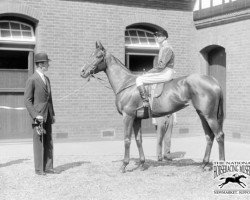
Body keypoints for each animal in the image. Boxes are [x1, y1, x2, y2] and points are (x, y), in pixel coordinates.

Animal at [81, 41, 226, 173]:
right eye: (91, 55)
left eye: (98, 56)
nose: (83, 71)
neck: (126, 84)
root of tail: (213, 81)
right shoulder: (136, 119)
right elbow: (138, 140)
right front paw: (142, 163)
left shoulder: (128, 117)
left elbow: (127, 140)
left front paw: (124, 165)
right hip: (202, 115)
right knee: (209, 136)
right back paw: (204, 164)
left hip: (209, 116)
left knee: (219, 136)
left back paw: (221, 164)